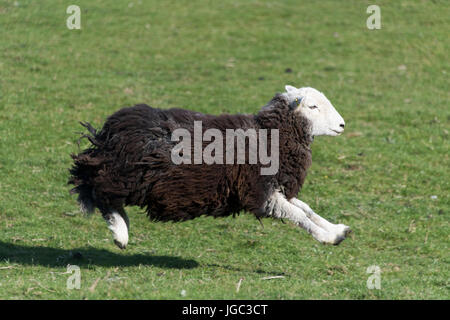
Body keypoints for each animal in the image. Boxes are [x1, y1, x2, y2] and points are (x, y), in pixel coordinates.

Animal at [68, 85, 352, 250]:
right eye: (313, 106)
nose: (342, 125)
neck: (272, 135)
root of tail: (113, 129)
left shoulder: (274, 186)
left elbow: (306, 209)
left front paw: (337, 230)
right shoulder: (257, 190)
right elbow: (298, 215)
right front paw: (326, 237)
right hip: (127, 174)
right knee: (95, 189)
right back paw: (120, 232)